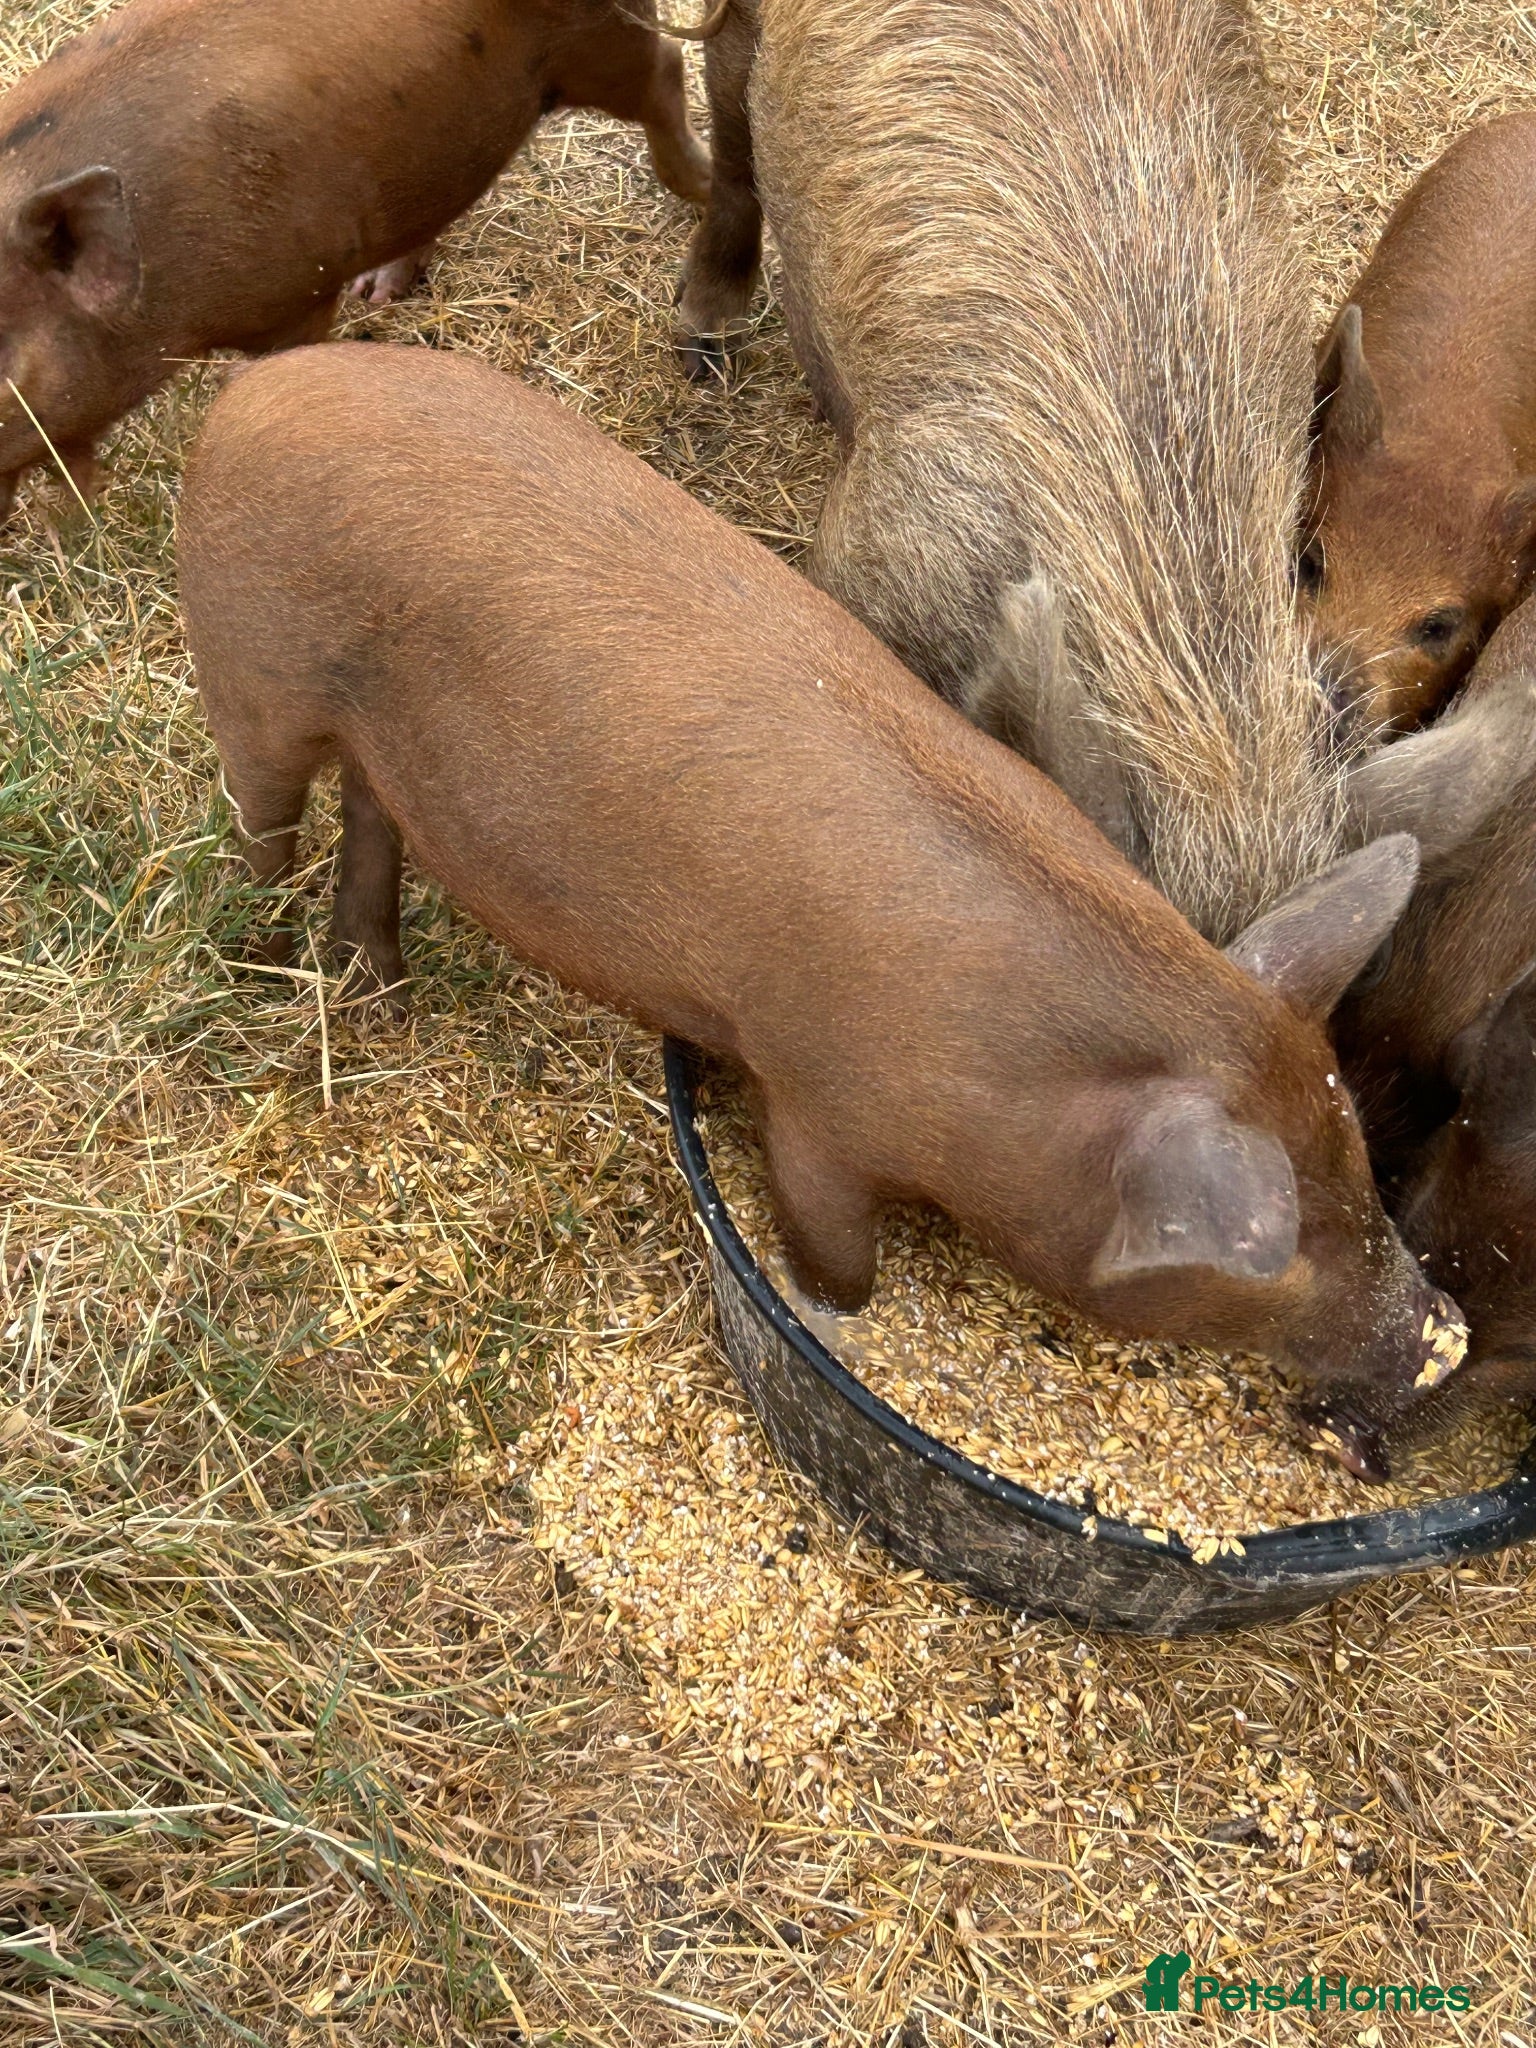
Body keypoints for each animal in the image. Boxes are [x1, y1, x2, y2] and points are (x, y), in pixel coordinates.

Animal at [0, 0, 709, 521]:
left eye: (3, 358)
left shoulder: (298, 295)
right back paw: (378, 291)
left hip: (603, 43)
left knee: (667, 67)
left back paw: (702, 188)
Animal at [177, 339, 1471, 1478]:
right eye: (1278, 1256)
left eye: (1359, 1157)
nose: (1441, 1332)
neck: (1022, 1067)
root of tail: (255, 387)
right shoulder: (816, 1100)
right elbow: (832, 1247)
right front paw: (843, 1314)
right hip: (254, 675)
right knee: (264, 815)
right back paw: (261, 961)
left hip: (376, 743)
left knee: (373, 818)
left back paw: (377, 989)